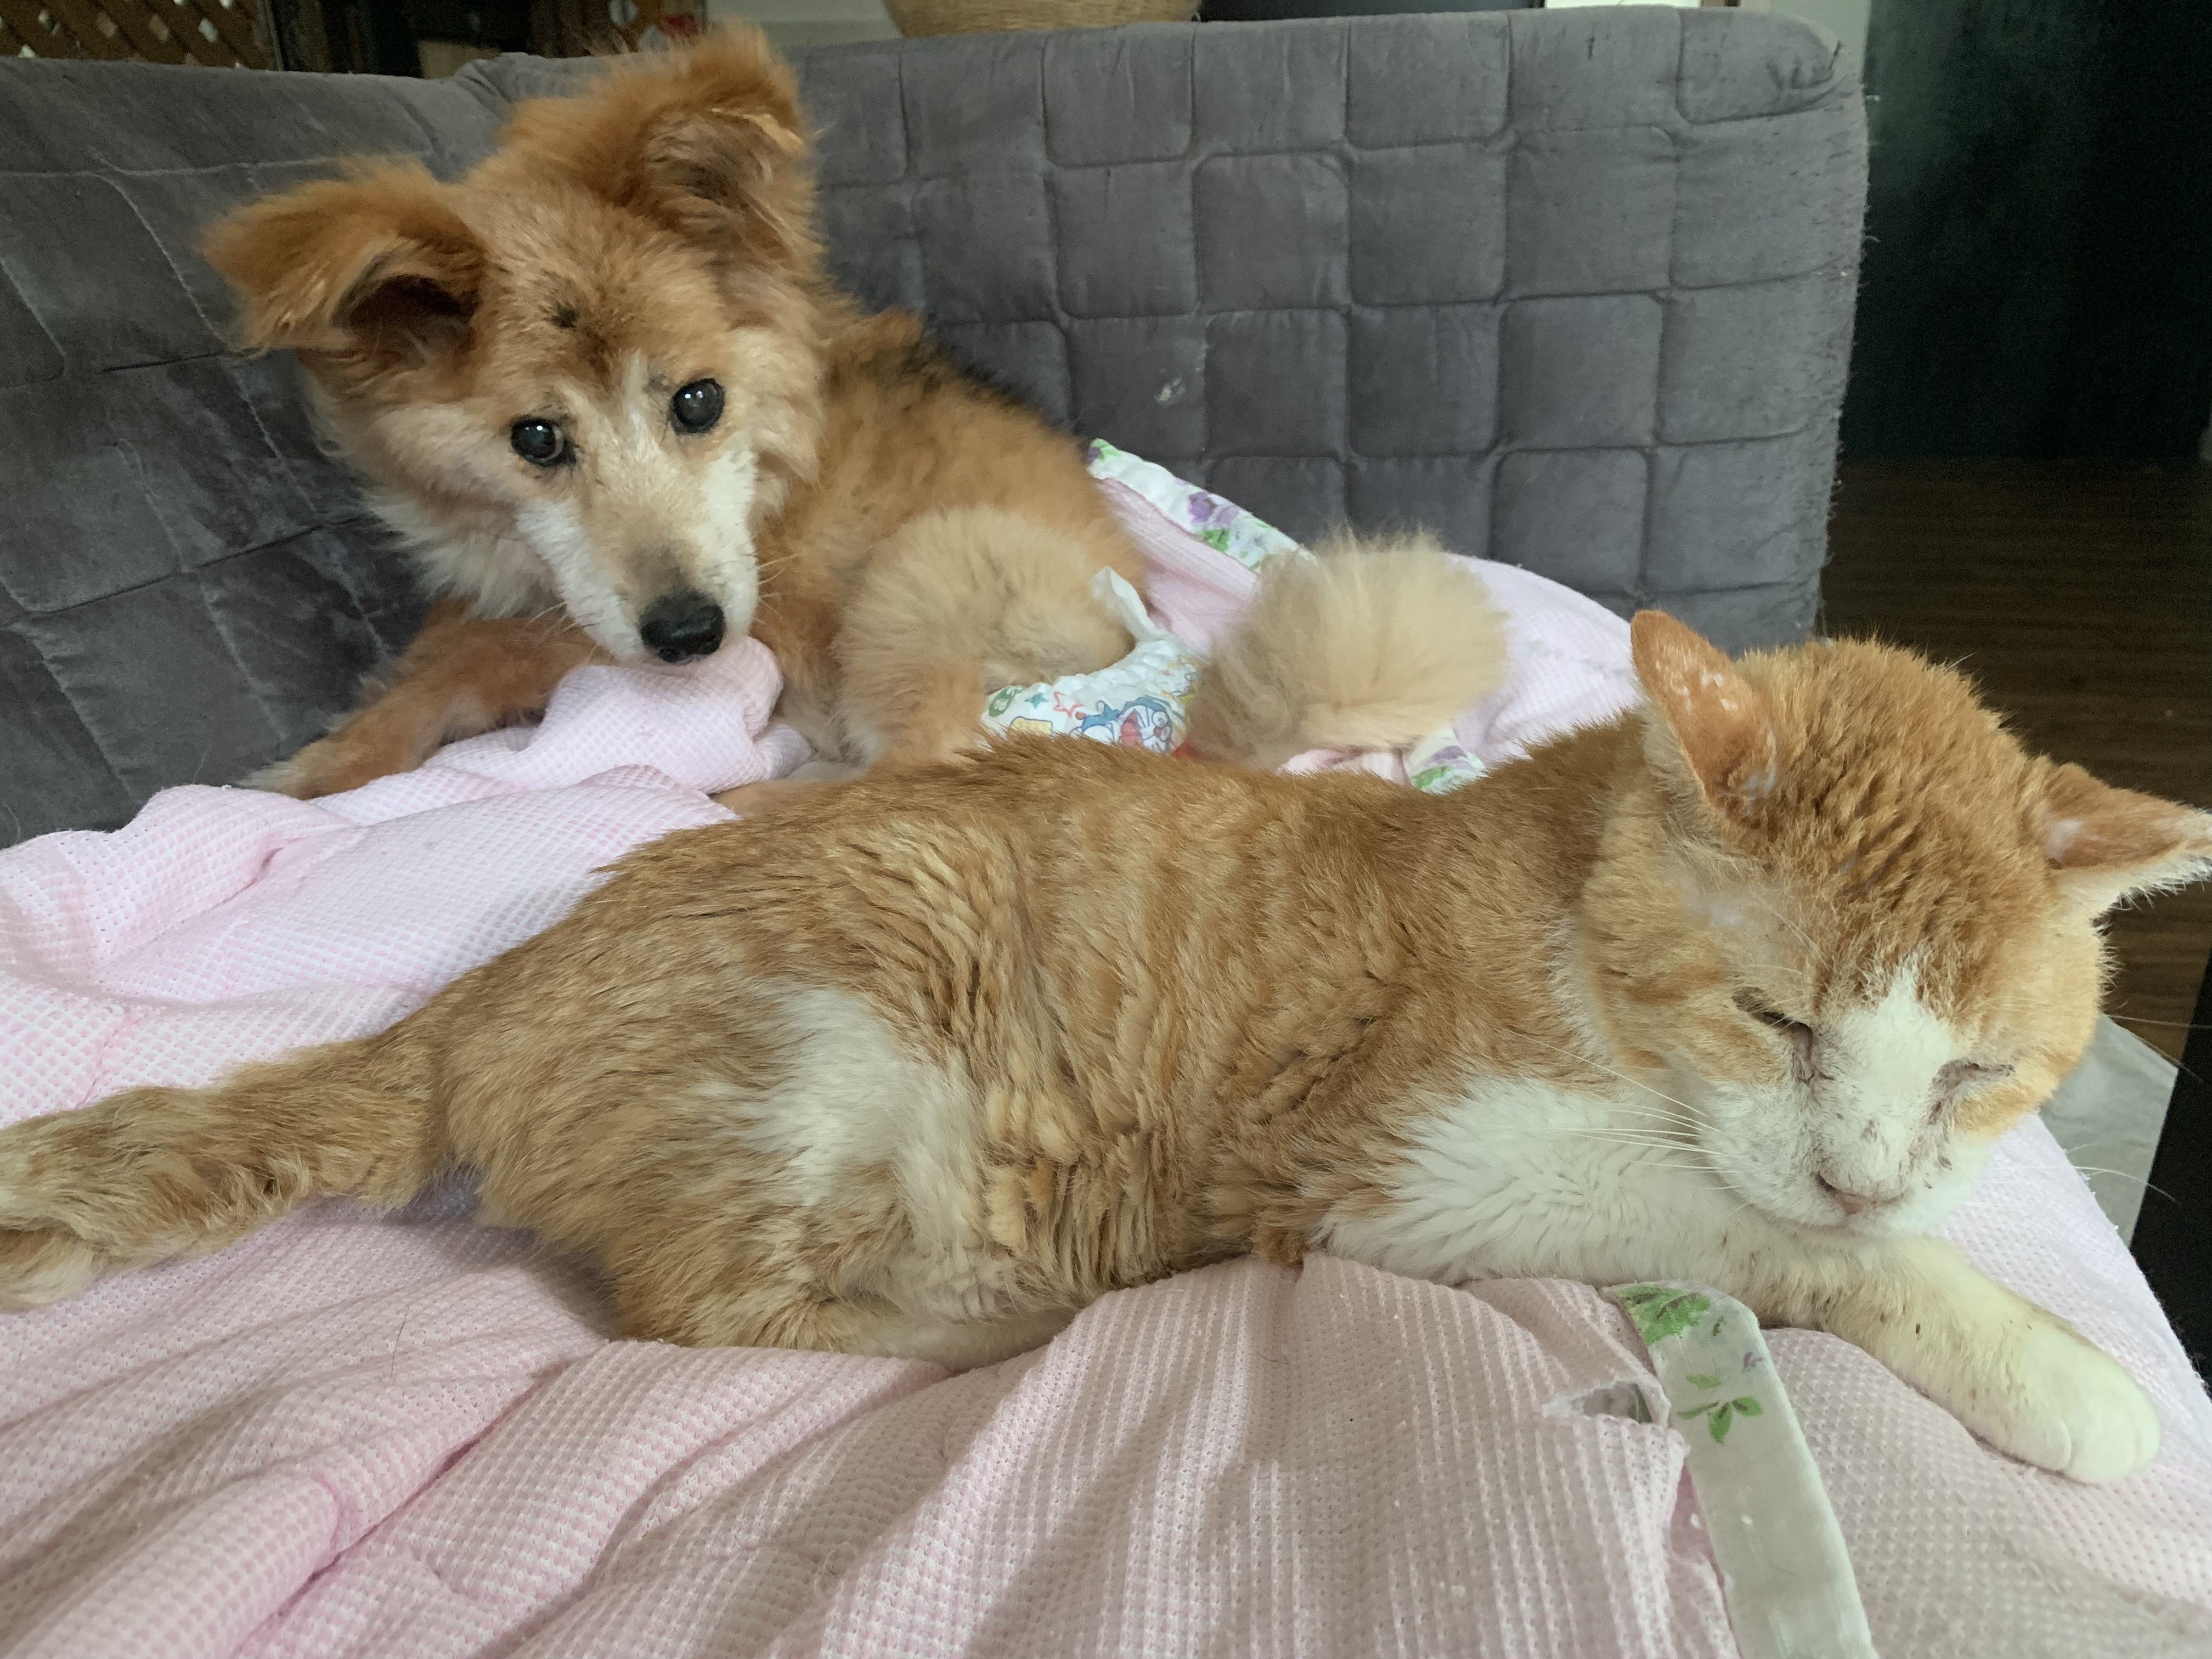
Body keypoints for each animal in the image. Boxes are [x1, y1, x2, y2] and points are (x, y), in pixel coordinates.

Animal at [2, 611, 2204, 1483]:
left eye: (1972, 1076)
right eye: (1781, 1017)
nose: (1859, 1160)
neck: (1562, 903)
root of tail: (484, 988)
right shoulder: (1415, 1174)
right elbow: (1770, 1238)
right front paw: (2057, 1368)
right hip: (854, 1017)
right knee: (696, 1305)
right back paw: (1000, 1322)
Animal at [203, 30, 1500, 804]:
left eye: (697, 401)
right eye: (537, 439)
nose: (689, 635)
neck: (777, 463)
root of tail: (1181, 718)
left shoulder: (745, 621)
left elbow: (484, 655)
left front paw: (315, 766)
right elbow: (457, 642)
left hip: (921, 584)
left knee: (922, 778)